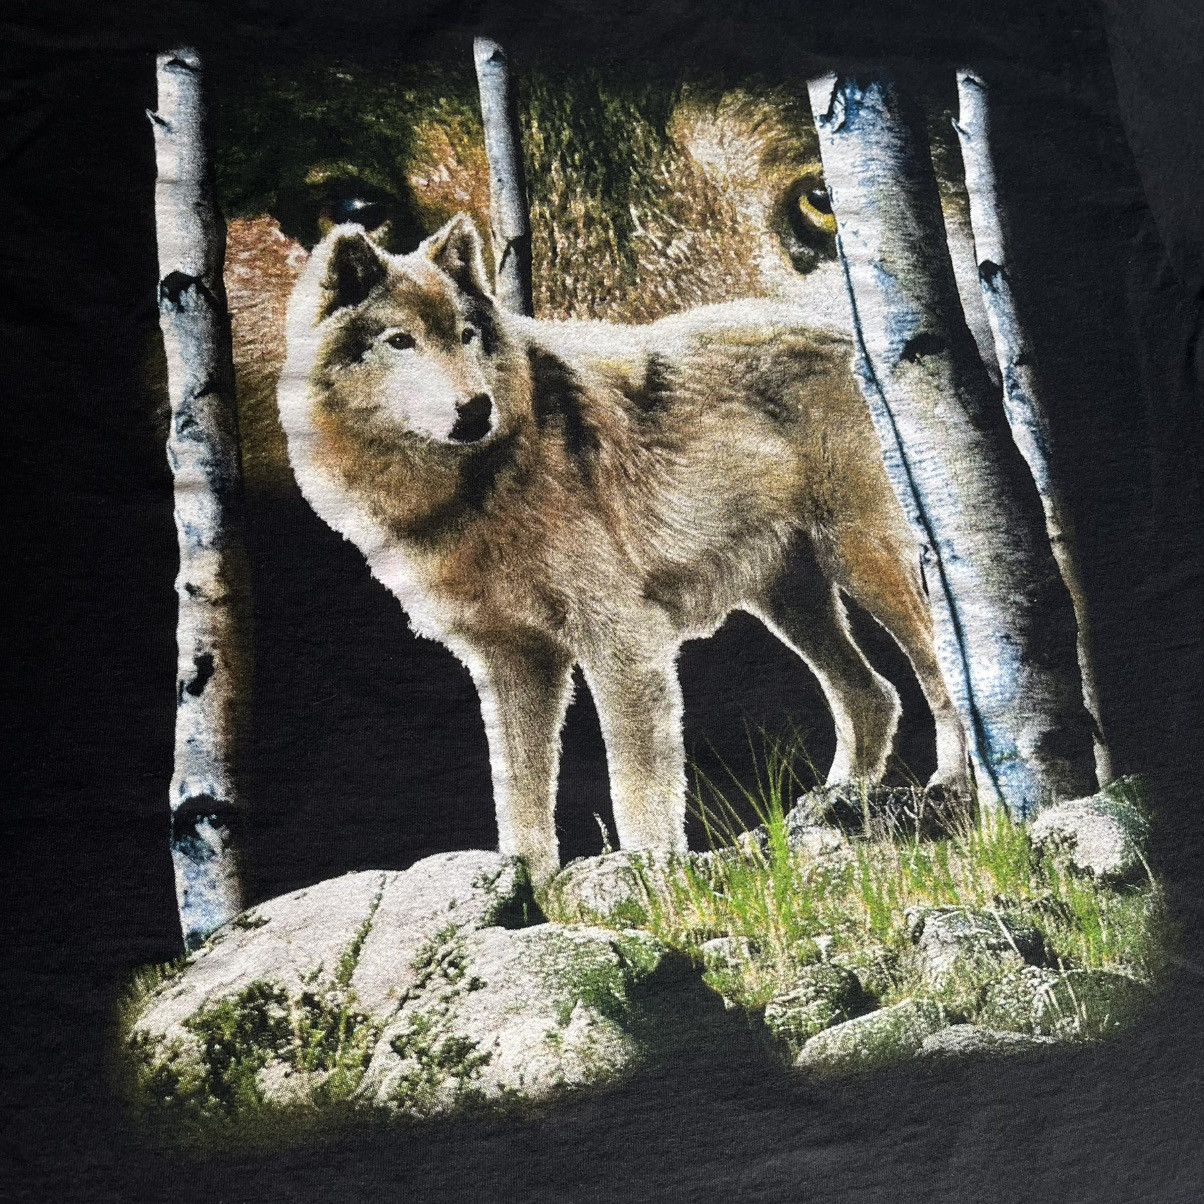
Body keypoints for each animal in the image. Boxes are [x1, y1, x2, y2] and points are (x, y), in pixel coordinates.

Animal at [278, 214, 968, 884]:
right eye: (401, 342)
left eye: (467, 334)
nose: (476, 410)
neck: (474, 487)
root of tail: (849, 332)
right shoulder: (512, 664)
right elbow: (520, 793)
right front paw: (526, 887)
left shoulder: (622, 642)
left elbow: (635, 784)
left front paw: (650, 874)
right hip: (789, 603)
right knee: (873, 695)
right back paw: (828, 809)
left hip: (867, 564)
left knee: (941, 673)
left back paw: (952, 784)